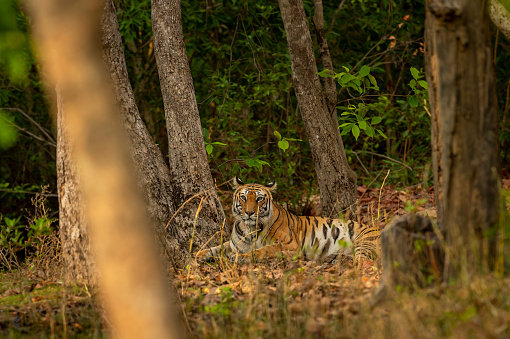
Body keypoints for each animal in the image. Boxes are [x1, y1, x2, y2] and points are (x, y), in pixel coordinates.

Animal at [194, 177, 374, 264]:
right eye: (244, 197)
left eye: (259, 198)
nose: (250, 212)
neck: (249, 228)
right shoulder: (233, 244)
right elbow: (216, 247)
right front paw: (198, 254)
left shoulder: (290, 245)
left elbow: (264, 250)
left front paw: (243, 257)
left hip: (365, 243)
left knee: (365, 261)